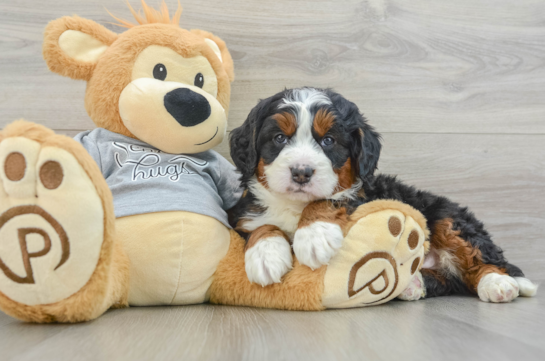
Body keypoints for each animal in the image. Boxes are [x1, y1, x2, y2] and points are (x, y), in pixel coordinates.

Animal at [228, 88, 536, 304]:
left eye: (328, 141)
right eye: (279, 138)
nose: (301, 172)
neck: (294, 205)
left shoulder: (363, 197)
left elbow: (330, 199)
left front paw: (314, 236)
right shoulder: (242, 214)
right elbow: (261, 226)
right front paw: (265, 256)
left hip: (448, 218)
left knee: (481, 260)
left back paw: (498, 284)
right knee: (452, 280)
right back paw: (413, 284)